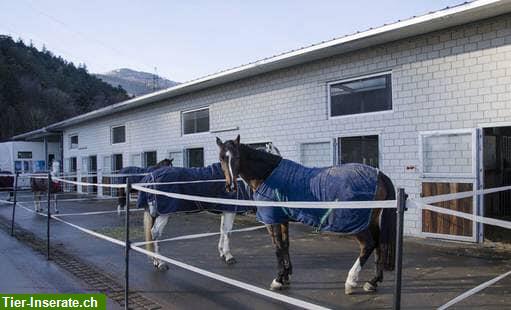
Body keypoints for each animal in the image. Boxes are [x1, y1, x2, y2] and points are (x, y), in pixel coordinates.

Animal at [218, 136, 398, 296]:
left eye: (237, 157)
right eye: (221, 158)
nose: (231, 186)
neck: (268, 175)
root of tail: (379, 174)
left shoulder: (272, 220)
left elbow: (277, 247)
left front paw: (278, 280)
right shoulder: (282, 220)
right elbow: (285, 245)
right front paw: (286, 276)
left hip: (356, 223)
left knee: (368, 245)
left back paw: (351, 282)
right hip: (370, 220)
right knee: (378, 244)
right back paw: (372, 282)